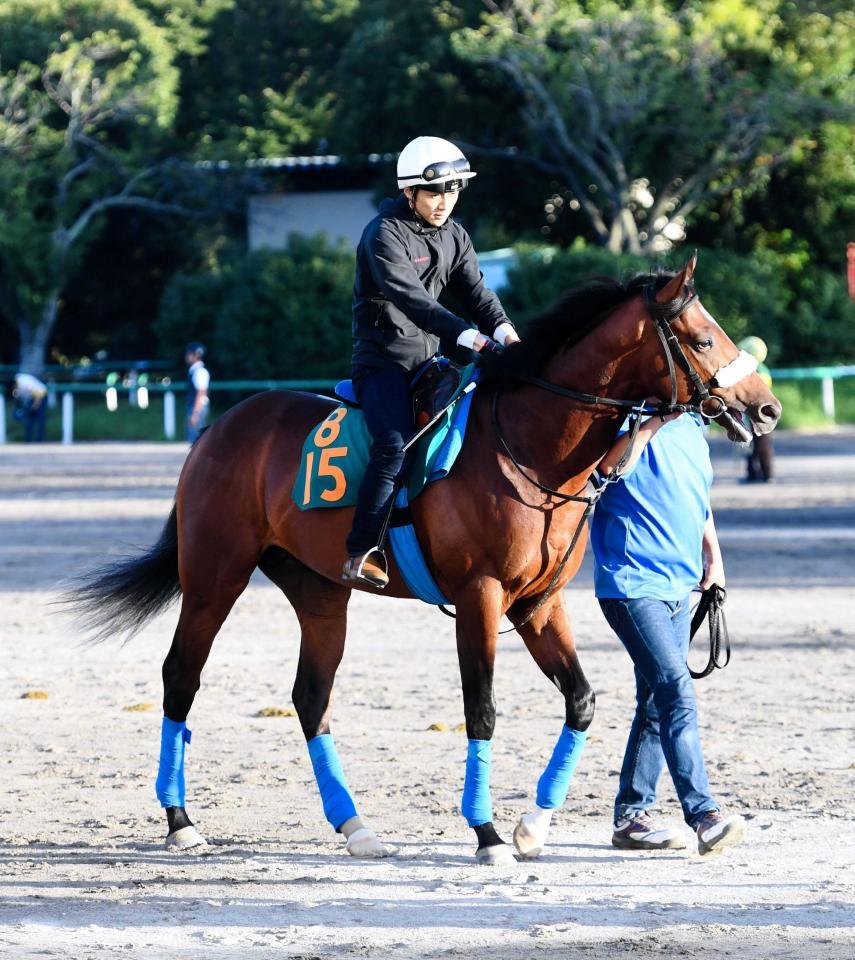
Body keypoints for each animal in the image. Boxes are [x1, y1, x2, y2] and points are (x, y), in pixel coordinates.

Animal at [73, 253, 784, 864]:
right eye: (703, 340)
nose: (766, 407)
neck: (526, 443)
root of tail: (218, 428)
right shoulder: (480, 596)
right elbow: (483, 709)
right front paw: (489, 834)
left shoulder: (538, 602)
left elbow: (580, 699)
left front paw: (533, 825)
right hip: (214, 577)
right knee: (181, 679)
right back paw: (181, 822)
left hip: (320, 593)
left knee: (311, 696)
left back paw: (355, 826)